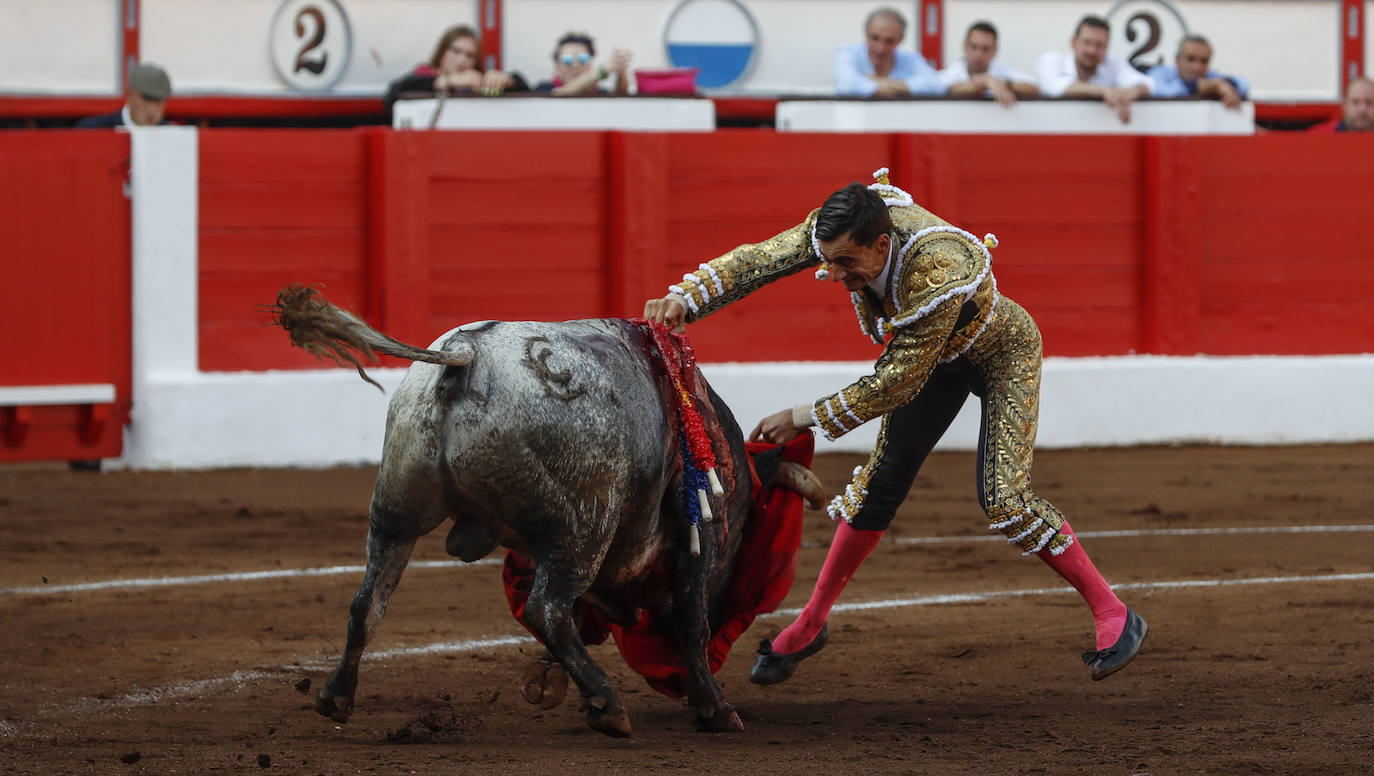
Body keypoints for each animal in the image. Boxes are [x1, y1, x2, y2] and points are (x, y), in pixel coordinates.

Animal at [273, 287, 818, 736]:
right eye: (745, 537)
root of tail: (468, 355)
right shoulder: (699, 530)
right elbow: (690, 618)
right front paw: (713, 708)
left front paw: (549, 683)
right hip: (583, 526)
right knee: (547, 608)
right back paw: (608, 705)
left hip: (396, 509)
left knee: (368, 602)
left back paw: (336, 696)